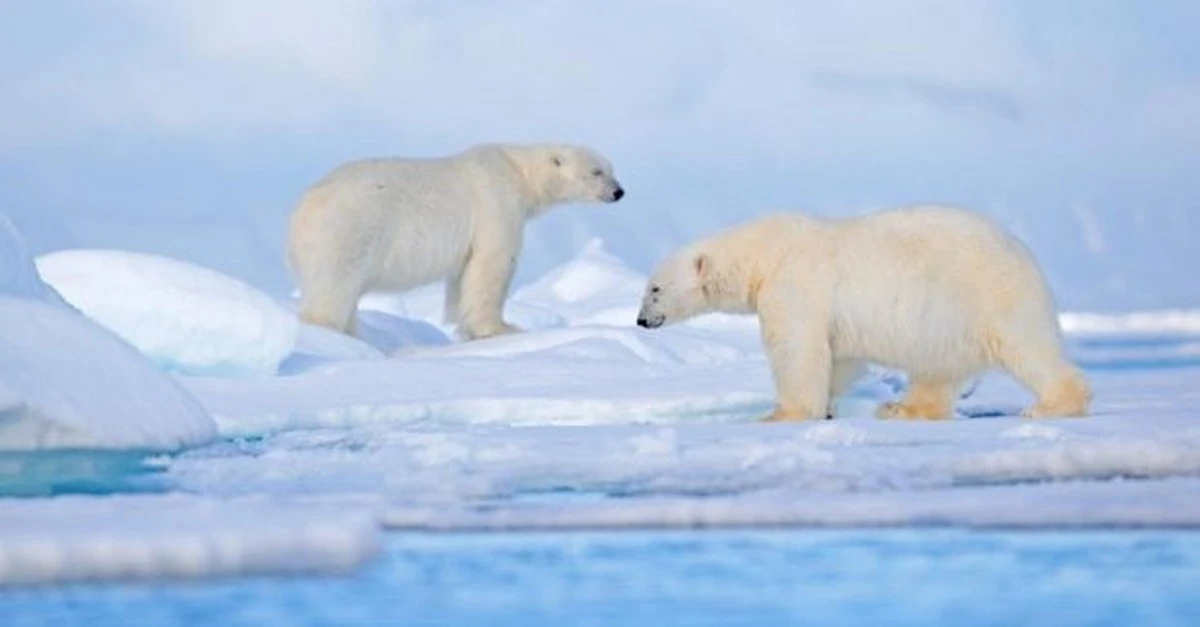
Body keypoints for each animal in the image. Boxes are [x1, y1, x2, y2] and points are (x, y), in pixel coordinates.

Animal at [287, 143, 623, 340]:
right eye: (597, 171)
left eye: (611, 169)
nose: (619, 192)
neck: (517, 171)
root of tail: (303, 208)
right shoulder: (497, 202)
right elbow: (492, 264)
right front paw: (501, 329)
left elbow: (462, 275)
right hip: (347, 230)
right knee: (333, 286)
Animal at [635, 205, 1091, 421]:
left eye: (654, 289)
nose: (641, 320)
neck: (767, 255)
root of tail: (1022, 251)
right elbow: (839, 359)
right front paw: (828, 406)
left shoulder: (796, 286)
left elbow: (797, 351)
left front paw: (780, 413)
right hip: (950, 319)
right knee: (939, 368)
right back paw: (901, 409)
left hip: (988, 295)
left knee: (1028, 348)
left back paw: (1051, 405)